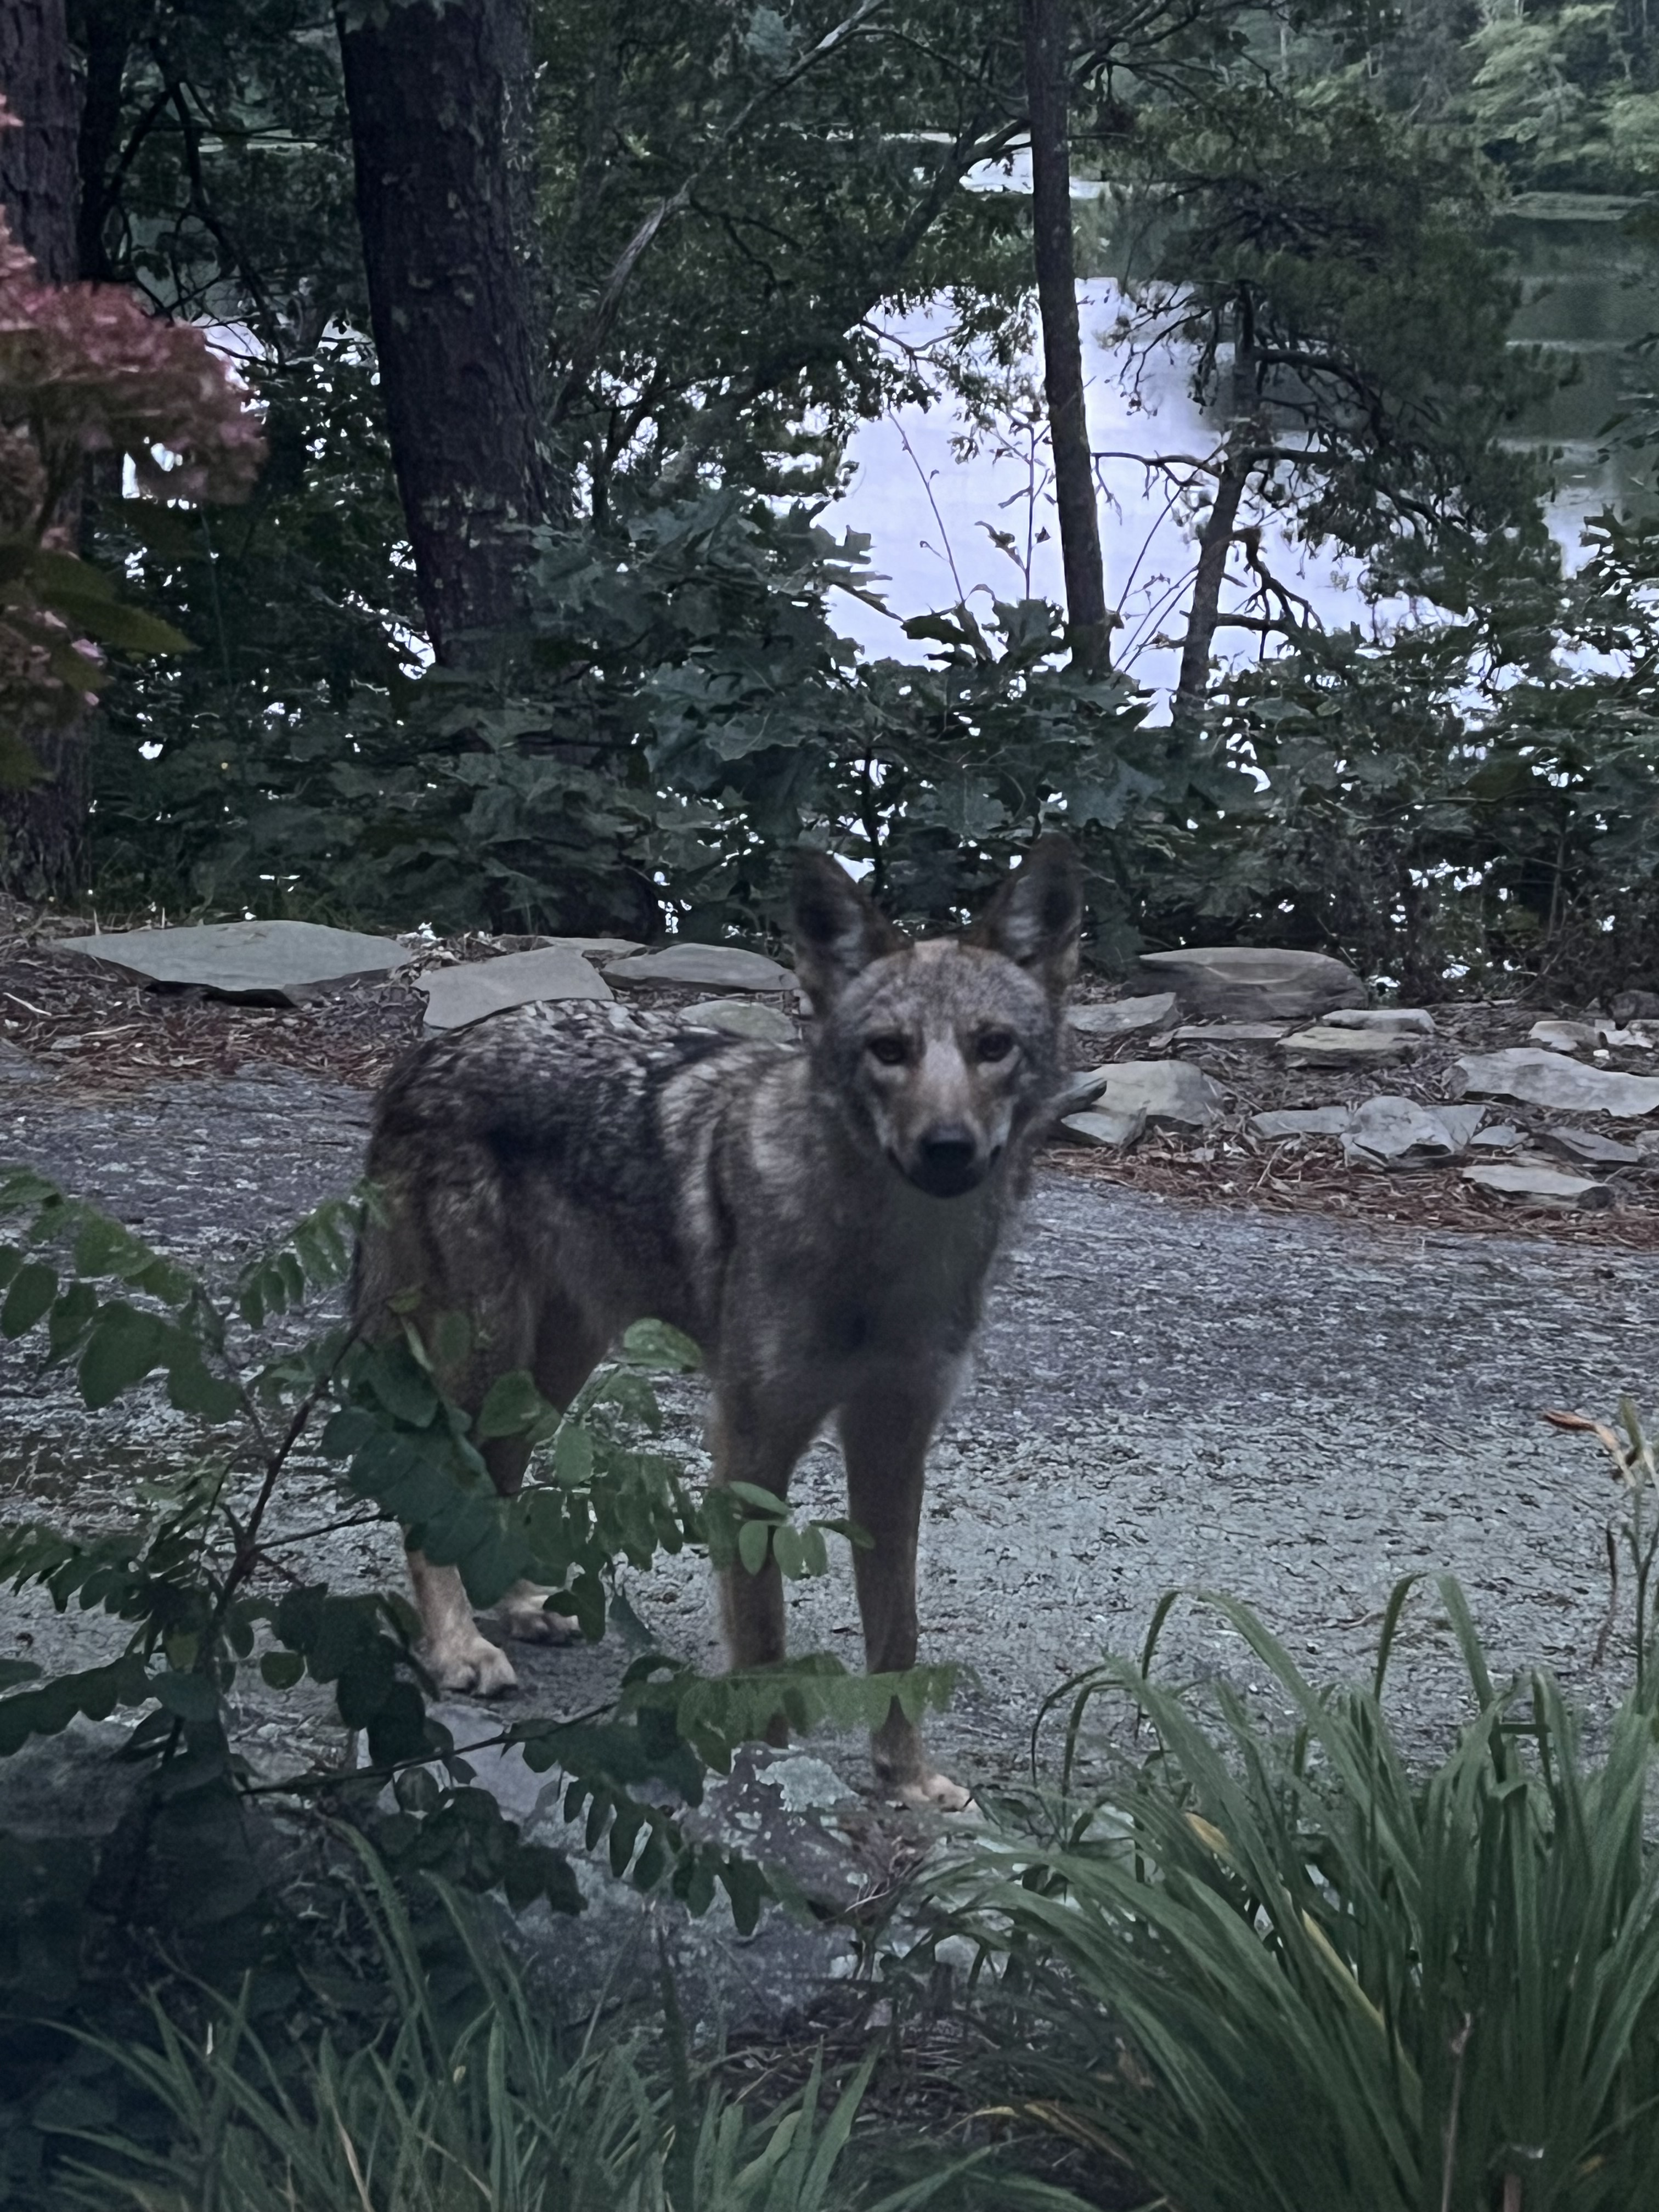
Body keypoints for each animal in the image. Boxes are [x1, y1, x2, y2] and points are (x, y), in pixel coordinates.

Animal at [353, 835, 1083, 1810]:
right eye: (889, 1051)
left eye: (991, 1047)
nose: (947, 1148)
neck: (888, 1261)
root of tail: (427, 1053)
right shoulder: (750, 1442)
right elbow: (764, 1640)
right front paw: (773, 1780)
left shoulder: (894, 1445)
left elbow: (897, 1637)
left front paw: (907, 1783)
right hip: (490, 1346)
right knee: (439, 1478)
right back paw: (458, 1644)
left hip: (553, 1364)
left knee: (494, 1474)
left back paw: (518, 1604)